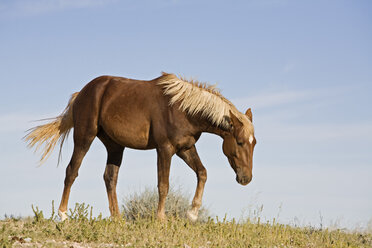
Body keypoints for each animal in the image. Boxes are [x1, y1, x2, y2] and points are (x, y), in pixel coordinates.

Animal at [25, 71, 256, 221]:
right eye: (240, 142)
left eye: (254, 143)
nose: (246, 179)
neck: (182, 109)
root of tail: (81, 93)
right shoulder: (165, 149)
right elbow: (163, 185)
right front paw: (161, 218)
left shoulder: (185, 149)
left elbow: (202, 173)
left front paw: (192, 214)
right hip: (84, 137)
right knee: (72, 171)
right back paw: (63, 215)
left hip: (115, 146)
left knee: (110, 178)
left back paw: (117, 219)